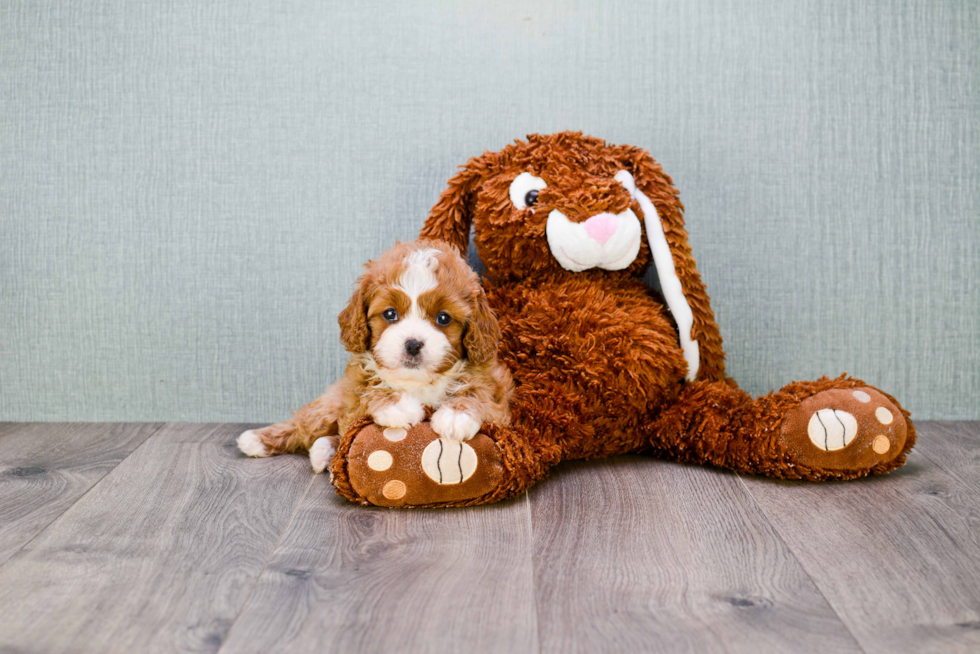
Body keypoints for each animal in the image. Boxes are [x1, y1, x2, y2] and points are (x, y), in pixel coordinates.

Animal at [237, 238, 512, 474]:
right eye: (390, 314)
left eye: (443, 318)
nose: (413, 344)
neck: (417, 381)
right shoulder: (354, 390)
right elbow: (367, 392)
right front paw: (397, 404)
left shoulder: (498, 399)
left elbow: (479, 394)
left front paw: (456, 414)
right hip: (330, 404)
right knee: (305, 424)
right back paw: (257, 439)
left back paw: (324, 451)